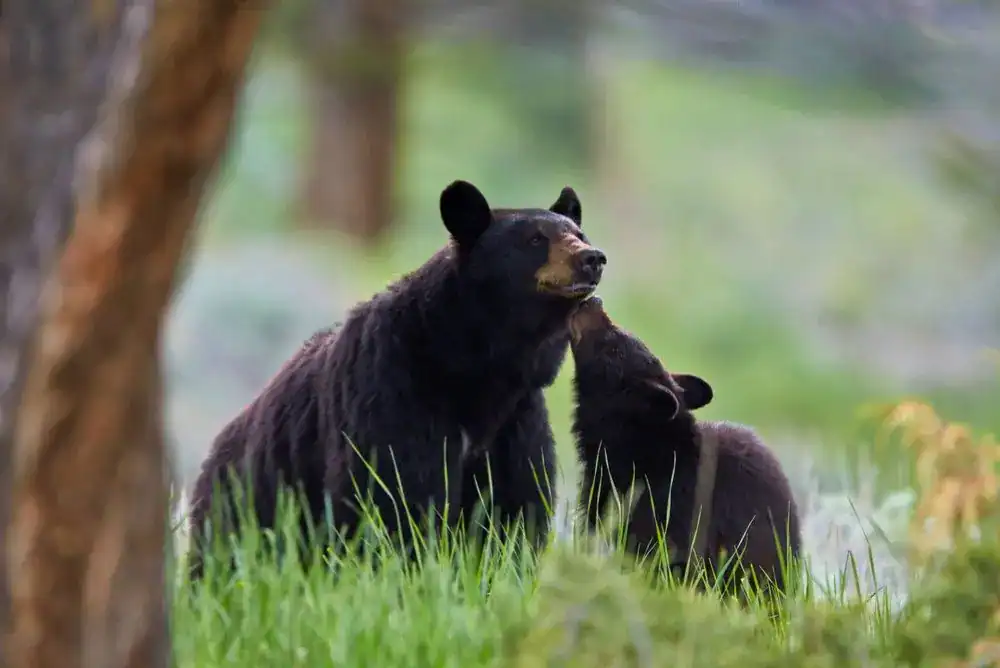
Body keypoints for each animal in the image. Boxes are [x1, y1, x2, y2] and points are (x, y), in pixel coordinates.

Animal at [186, 179, 607, 578]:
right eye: (535, 239)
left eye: (578, 233)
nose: (593, 258)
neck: (473, 366)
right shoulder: (392, 389)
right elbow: (395, 492)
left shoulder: (517, 418)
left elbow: (513, 504)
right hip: (245, 504)